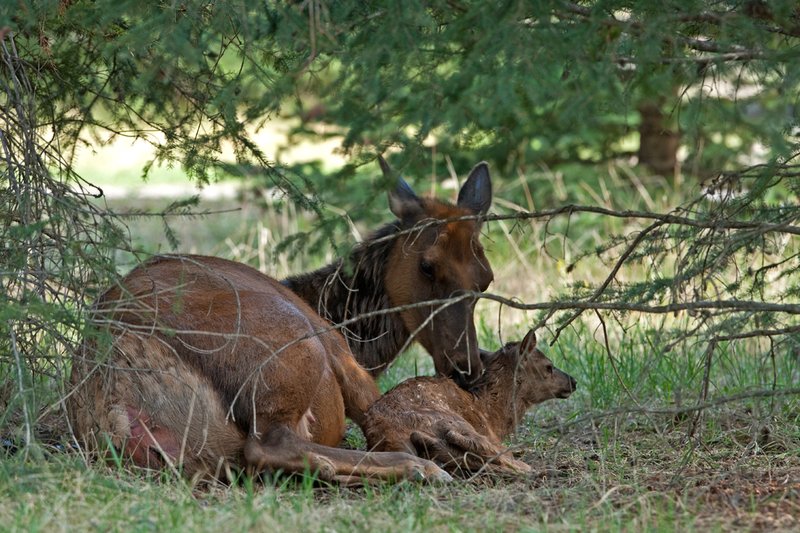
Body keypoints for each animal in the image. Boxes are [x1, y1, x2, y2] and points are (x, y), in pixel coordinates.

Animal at [67, 157, 494, 484]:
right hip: (296, 340)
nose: (466, 366)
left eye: (485, 279)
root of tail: (114, 397)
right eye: (427, 265)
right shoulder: (343, 356)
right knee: (268, 444)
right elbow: (387, 416)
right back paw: (417, 467)